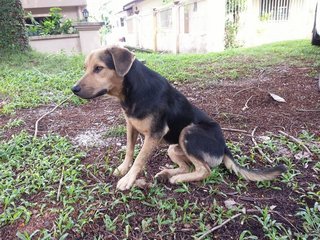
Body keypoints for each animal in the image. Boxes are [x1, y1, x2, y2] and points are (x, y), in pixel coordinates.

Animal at [71, 46, 286, 190]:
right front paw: (123, 169)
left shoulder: (154, 134)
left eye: (98, 68)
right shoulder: (131, 126)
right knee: (188, 166)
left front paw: (128, 180)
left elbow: (139, 158)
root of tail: (224, 147)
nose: (74, 89)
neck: (132, 92)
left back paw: (176, 179)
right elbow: (130, 151)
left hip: (187, 132)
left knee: (205, 170)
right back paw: (166, 173)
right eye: (86, 67)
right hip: (174, 148)